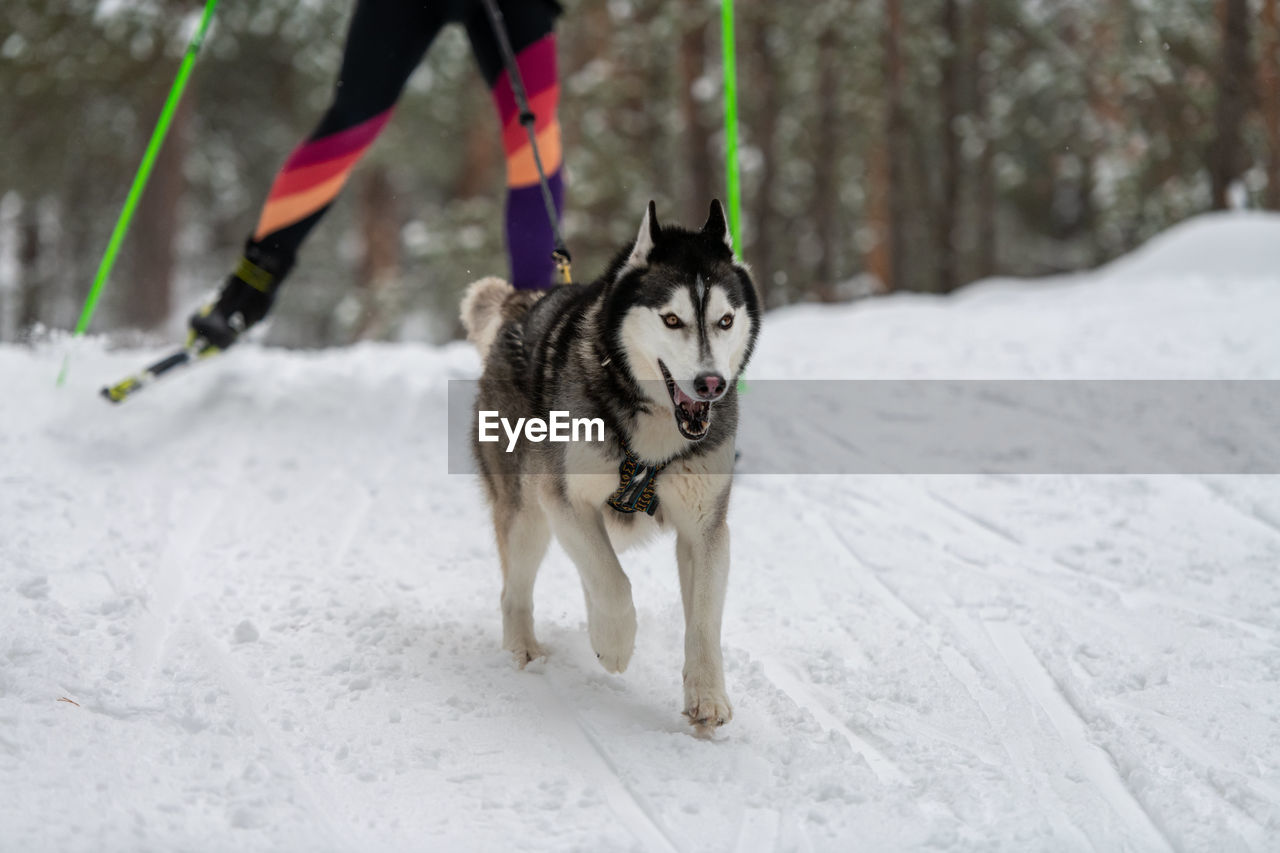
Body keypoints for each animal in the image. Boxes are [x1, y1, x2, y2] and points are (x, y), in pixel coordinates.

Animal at [460, 201, 757, 732]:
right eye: (672, 319)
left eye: (725, 320)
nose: (711, 384)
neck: (653, 425)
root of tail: (524, 303)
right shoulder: (563, 498)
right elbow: (614, 583)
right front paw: (614, 643)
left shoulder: (705, 527)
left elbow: (703, 619)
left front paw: (706, 696)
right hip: (527, 513)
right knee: (519, 589)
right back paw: (524, 649)